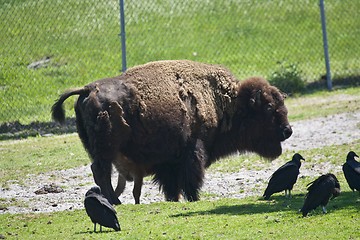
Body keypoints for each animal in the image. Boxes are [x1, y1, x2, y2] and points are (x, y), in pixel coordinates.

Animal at [51, 60, 292, 204]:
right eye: (269, 107)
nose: (287, 130)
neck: (226, 101)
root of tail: (87, 89)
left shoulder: (170, 161)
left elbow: (172, 185)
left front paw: (174, 200)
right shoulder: (193, 151)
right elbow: (191, 179)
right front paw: (194, 198)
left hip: (101, 150)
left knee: (100, 171)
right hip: (106, 150)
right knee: (101, 171)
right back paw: (115, 202)